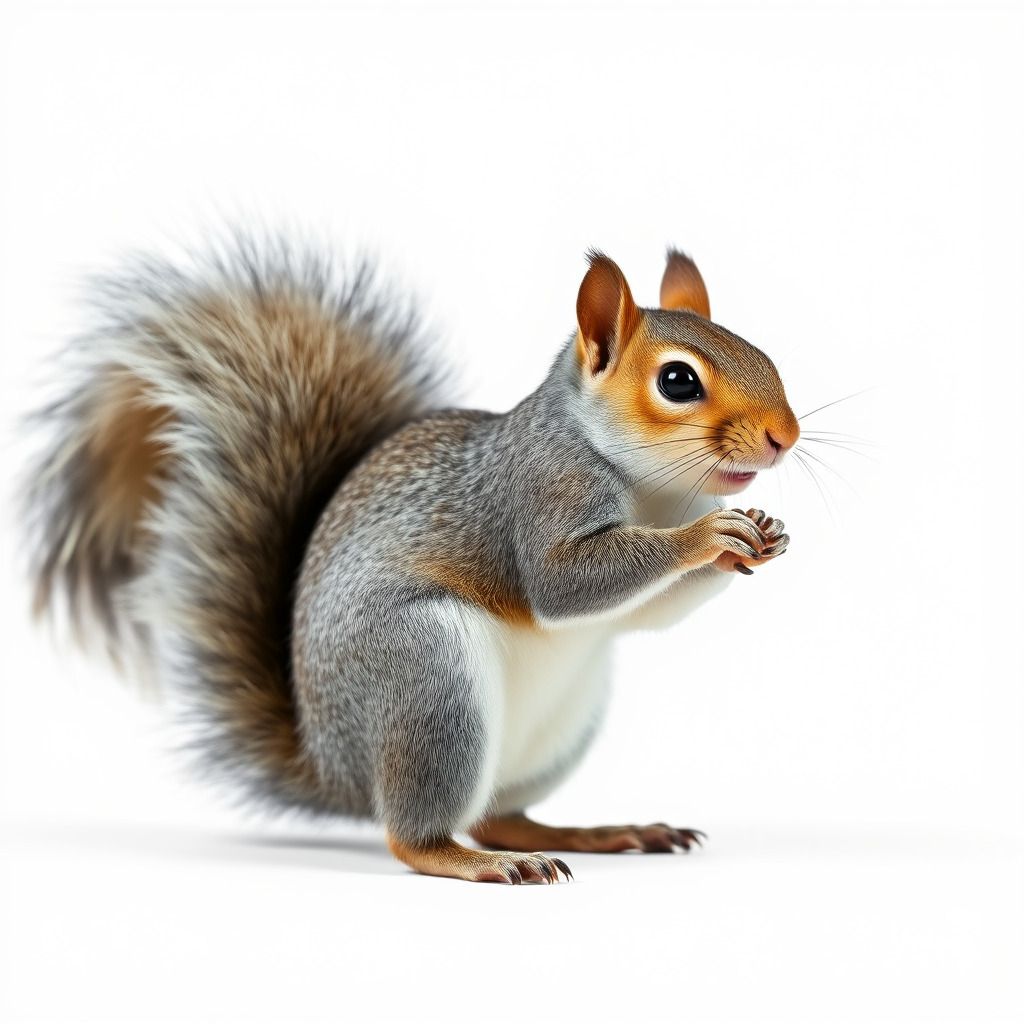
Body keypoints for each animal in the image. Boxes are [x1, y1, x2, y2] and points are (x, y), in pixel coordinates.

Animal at [24, 237, 799, 884]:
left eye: (763, 353)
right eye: (678, 382)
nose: (785, 437)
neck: (657, 492)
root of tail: (338, 769)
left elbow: (649, 615)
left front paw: (759, 532)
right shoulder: (540, 494)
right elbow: (563, 585)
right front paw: (707, 538)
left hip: (558, 726)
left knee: (500, 817)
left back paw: (596, 834)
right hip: (427, 676)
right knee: (417, 835)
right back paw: (470, 861)